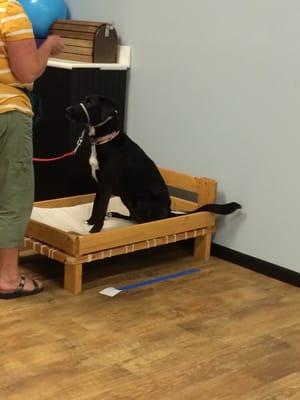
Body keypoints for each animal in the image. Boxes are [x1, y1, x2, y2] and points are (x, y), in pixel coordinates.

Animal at [65, 95, 241, 233]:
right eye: (83, 100)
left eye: (89, 103)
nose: (66, 109)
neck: (106, 140)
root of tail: (169, 213)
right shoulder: (100, 185)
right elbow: (96, 205)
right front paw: (90, 222)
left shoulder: (106, 184)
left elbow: (101, 208)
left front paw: (95, 230)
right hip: (126, 197)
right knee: (134, 217)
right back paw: (116, 215)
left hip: (141, 201)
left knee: (149, 223)